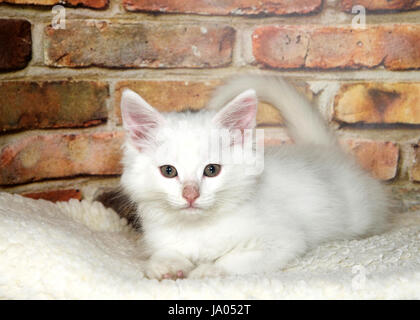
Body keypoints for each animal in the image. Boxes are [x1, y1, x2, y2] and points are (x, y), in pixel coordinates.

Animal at [120, 76, 388, 278]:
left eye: (211, 170)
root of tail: (321, 148)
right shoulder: (161, 239)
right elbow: (166, 252)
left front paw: (207, 272)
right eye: (168, 171)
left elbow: (233, 260)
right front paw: (165, 266)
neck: (198, 228)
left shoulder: (283, 241)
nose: (190, 194)